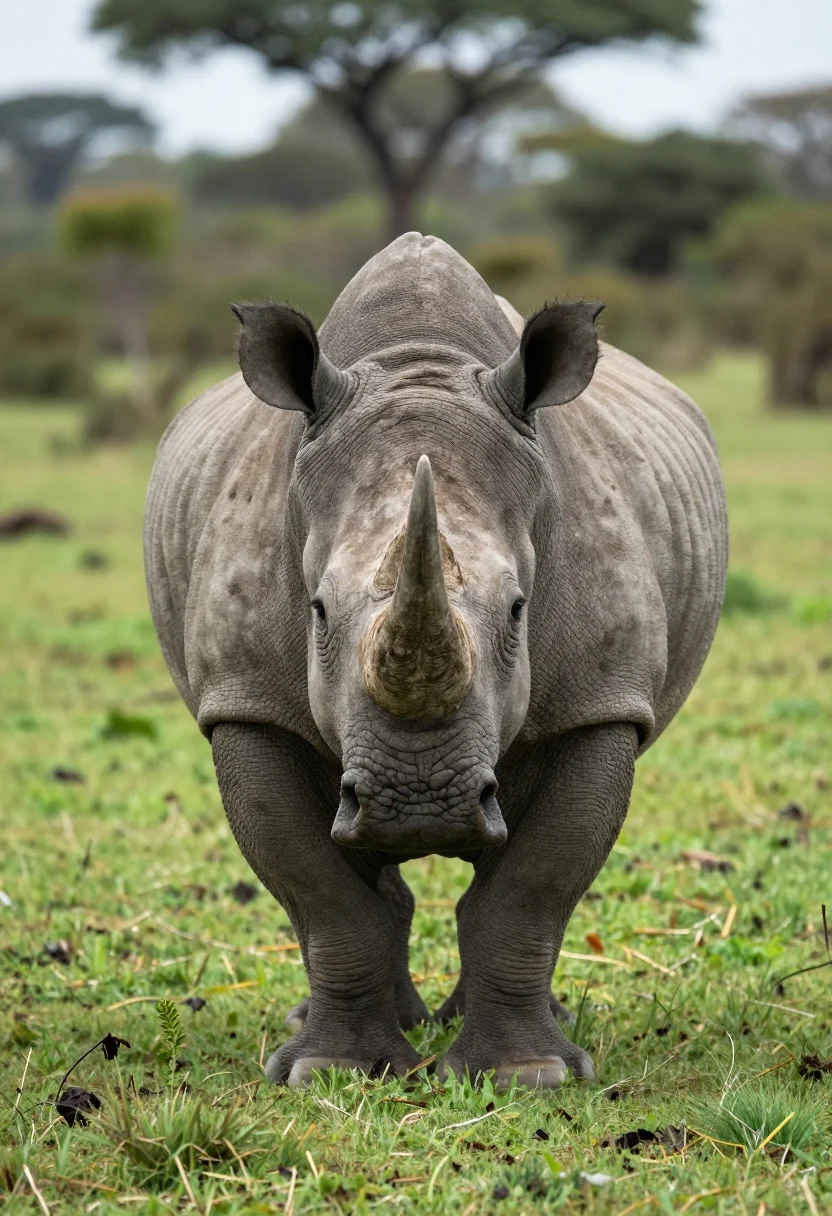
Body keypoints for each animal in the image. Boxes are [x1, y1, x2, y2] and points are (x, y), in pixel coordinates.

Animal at [145, 233, 727, 1089]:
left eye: (519, 608)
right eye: (316, 609)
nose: (417, 804)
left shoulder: (598, 704)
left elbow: (530, 890)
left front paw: (527, 1076)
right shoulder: (247, 703)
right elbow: (323, 895)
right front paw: (331, 1071)